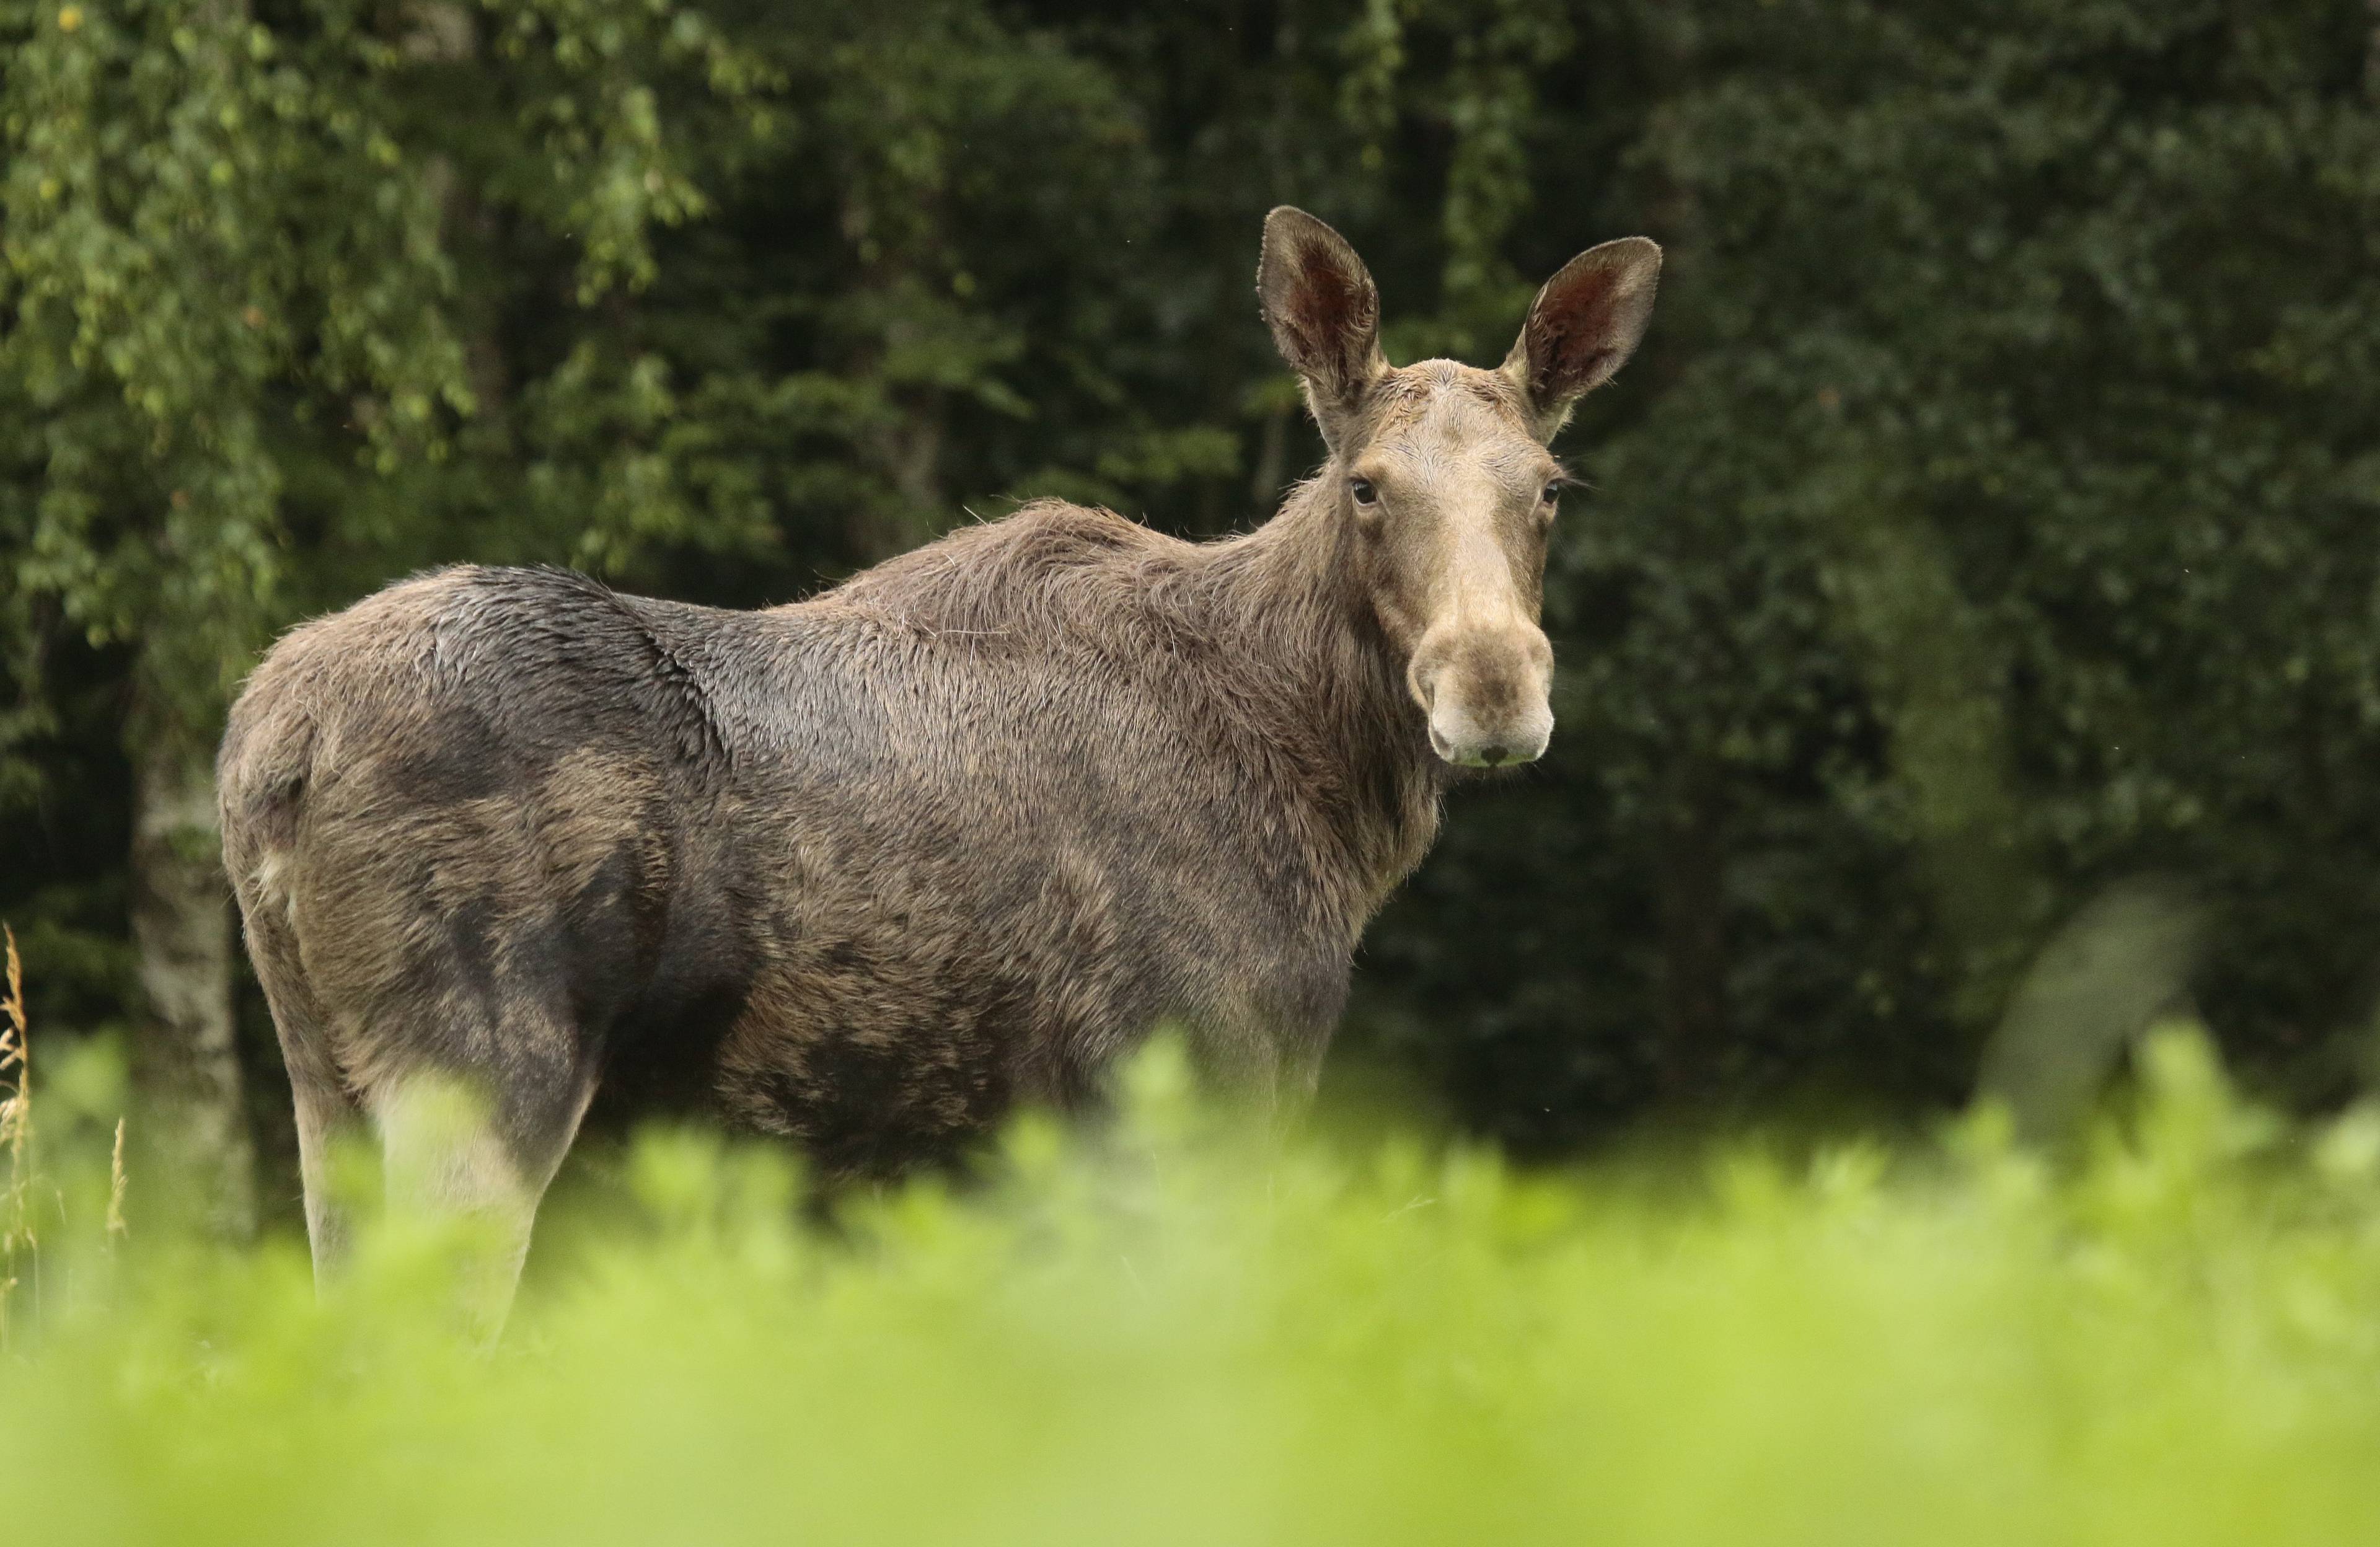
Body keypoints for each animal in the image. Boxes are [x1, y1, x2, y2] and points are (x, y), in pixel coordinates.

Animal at [227, 205, 1656, 1313]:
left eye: (1548, 487)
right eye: (1366, 485)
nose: (1494, 686)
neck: (1331, 796)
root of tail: (268, 752)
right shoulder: (1198, 1080)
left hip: (325, 1087)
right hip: (480, 1072)